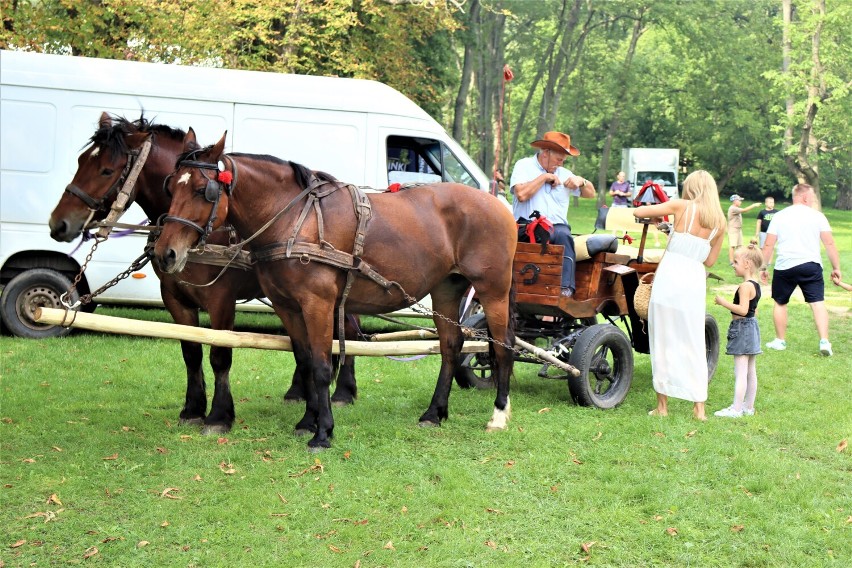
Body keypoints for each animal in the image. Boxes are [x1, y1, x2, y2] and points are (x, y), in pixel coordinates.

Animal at [48, 114, 358, 434]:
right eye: (81, 160)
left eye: (107, 170)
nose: (58, 224)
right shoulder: (175, 297)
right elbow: (191, 352)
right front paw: (193, 409)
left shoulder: (221, 299)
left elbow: (220, 355)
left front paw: (219, 415)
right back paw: (299, 392)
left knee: (349, 330)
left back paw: (343, 392)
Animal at [154, 131, 516, 450]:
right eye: (169, 186)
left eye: (203, 190)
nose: (165, 253)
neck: (295, 220)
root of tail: (500, 205)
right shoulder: (288, 306)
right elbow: (304, 360)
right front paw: (307, 420)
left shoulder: (317, 304)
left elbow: (321, 366)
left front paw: (323, 432)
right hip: (446, 290)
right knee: (451, 346)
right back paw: (434, 413)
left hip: (493, 290)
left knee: (503, 347)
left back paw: (498, 414)